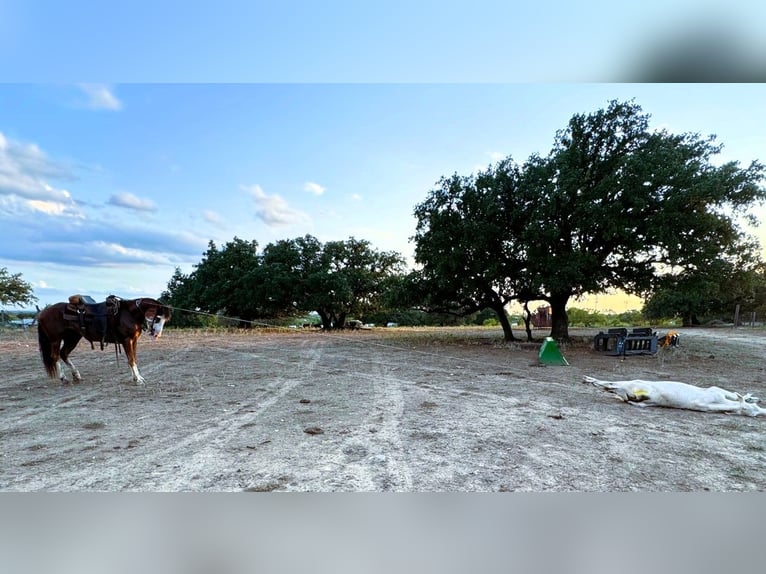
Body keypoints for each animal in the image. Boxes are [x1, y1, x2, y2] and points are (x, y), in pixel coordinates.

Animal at [37, 296, 171, 388]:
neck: (129, 313)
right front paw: (138, 379)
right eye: (158, 318)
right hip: (55, 340)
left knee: (64, 354)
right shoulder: (127, 340)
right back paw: (63, 378)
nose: (157, 334)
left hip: (73, 338)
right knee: (55, 356)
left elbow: (133, 359)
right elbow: (131, 360)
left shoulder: (134, 341)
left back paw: (76, 375)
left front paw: (136, 377)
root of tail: (43, 313)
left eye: (164, 320)